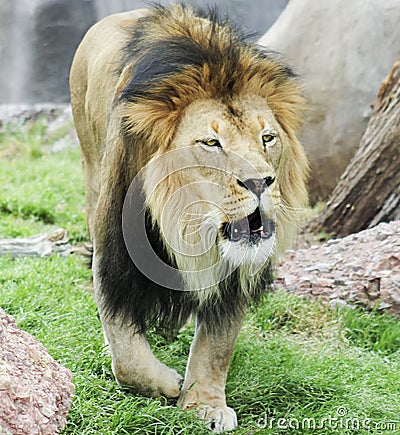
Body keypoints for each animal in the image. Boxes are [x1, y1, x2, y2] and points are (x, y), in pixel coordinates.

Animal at [69, 4, 308, 432]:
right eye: (211, 143)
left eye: (267, 138)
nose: (260, 182)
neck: (187, 226)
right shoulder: (114, 256)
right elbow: (126, 353)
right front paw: (166, 384)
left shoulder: (234, 276)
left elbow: (216, 347)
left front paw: (204, 404)